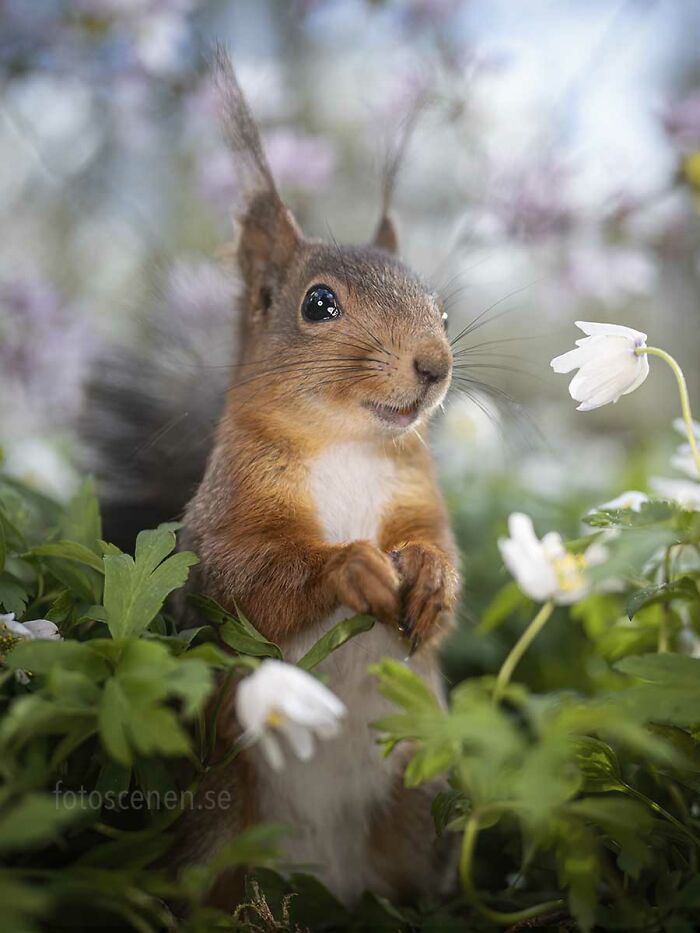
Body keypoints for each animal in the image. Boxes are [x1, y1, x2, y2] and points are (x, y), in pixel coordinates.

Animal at [85, 51, 460, 910]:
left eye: (444, 311)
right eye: (318, 303)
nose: (435, 365)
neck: (347, 444)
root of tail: (330, 881)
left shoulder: (417, 496)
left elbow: (439, 551)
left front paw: (426, 578)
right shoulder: (227, 515)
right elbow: (248, 576)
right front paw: (351, 566)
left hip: (414, 800)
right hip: (221, 812)